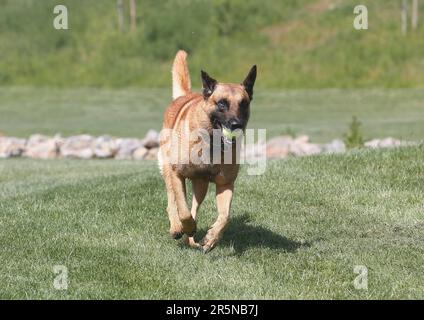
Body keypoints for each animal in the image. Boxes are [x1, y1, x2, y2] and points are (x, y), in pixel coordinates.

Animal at [158, 50, 255, 252]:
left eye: (243, 104)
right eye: (221, 104)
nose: (236, 124)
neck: (211, 143)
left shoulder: (225, 184)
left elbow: (224, 216)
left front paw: (211, 238)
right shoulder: (177, 174)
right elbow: (183, 210)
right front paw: (186, 226)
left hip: (201, 186)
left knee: (195, 206)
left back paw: (192, 240)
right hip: (168, 171)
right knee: (172, 202)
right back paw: (177, 228)